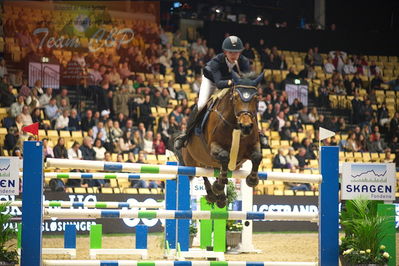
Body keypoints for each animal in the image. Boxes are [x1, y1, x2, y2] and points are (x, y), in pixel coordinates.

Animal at [174, 72, 262, 208]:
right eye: (235, 97)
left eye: (256, 98)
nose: (246, 126)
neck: (235, 126)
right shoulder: (214, 147)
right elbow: (224, 156)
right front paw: (219, 187)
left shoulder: (251, 147)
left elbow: (257, 156)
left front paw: (252, 180)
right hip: (193, 162)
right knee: (203, 174)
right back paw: (213, 194)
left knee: (216, 171)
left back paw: (220, 197)